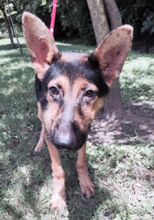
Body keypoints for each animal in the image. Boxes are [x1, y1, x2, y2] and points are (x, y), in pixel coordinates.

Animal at [22, 11, 133, 210]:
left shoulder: (83, 132)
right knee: (42, 126)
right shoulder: (53, 132)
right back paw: (39, 144)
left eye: (89, 93)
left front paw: (85, 183)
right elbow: (58, 170)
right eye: (54, 90)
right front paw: (59, 197)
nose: (64, 143)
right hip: (40, 110)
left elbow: (81, 162)